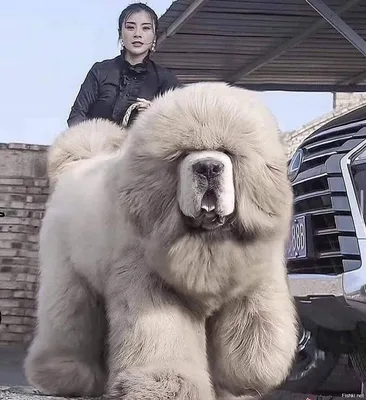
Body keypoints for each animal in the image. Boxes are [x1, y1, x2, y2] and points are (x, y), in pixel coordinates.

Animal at [24, 82, 298, 400]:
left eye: (226, 153)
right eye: (183, 155)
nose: (208, 167)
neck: (205, 241)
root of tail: (75, 167)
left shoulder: (253, 281)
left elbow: (255, 334)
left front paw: (244, 380)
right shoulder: (149, 284)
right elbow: (160, 333)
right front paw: (164, 385)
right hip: (69, 277)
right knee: (69, 320)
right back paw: (67, 374)